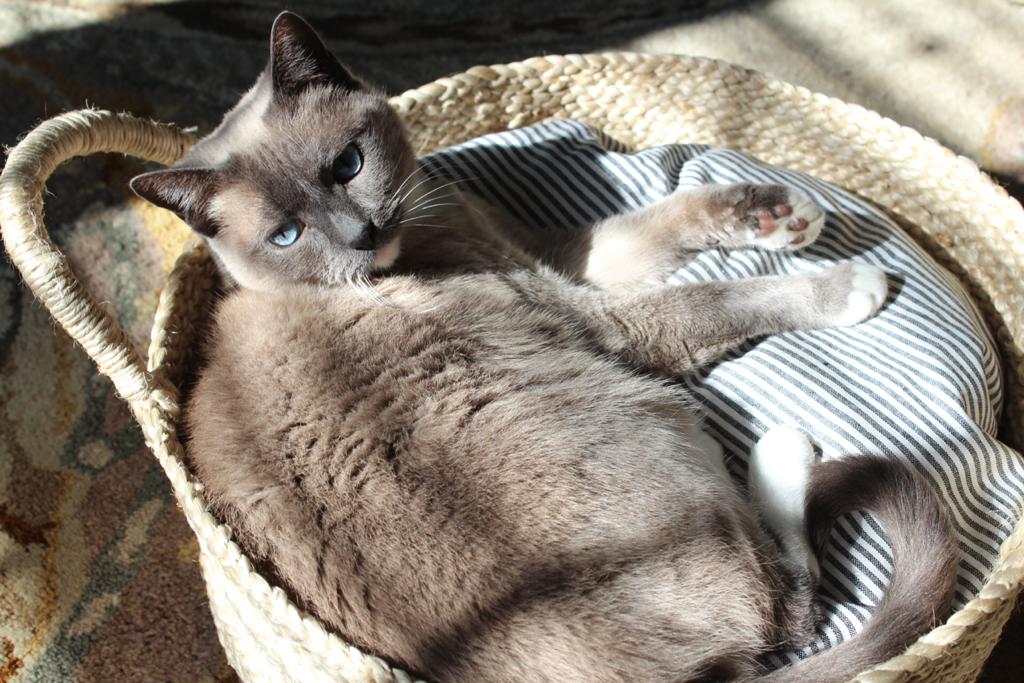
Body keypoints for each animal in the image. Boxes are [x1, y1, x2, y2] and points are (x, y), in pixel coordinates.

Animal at [130, 10, 958, 683]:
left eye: (347, 165)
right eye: (288, 234)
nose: (360, 235)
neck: (423, 234)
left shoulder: (559, 260)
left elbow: (676, 214)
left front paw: (783, 217)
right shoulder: (597, 316)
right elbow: (720, 296)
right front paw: (854, 284)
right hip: (662, 413)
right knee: (794, 602)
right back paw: (786, 449)